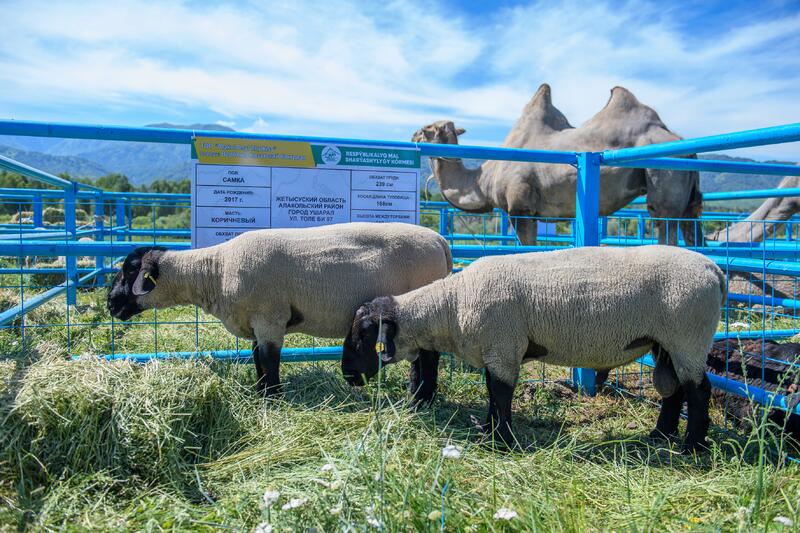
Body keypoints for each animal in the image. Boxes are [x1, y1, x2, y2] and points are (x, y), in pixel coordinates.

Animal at [107, 222, 453, 399]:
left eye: (130, 269)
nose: (110, 303)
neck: (214, 271)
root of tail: (440, 241)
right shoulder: (255, 324)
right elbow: (257, 360)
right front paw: (260, 392)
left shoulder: (270, 318)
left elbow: (270, 360)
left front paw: (272, 396)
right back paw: (417, 395)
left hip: (424, 307)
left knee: (428, 355)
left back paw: (420, 399)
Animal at [341, 245, 724, 451]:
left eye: (363, 335)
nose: (348, 376)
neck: (451, 305)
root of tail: (713, 269)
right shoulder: (497, 350)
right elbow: (492, 392)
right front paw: (489, 431)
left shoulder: (504, 346)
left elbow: (501, 393)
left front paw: (502, 440)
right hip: (666, 342)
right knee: (675, 390)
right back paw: (660, 435)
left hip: (688, 335)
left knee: (698, 390)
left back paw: (691, 447)